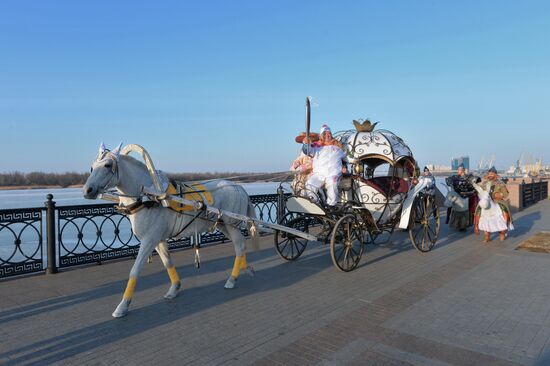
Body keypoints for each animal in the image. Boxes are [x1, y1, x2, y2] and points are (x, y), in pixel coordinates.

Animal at [83, 143, 260, 318]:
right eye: (91, 167)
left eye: (107, 165)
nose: (87, 190)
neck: (148, 196)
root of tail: (239, 187)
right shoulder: (158, 240)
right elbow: (168, 262)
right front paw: (174, 288)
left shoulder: (149, 240)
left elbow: (134, 271)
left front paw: (122, 306)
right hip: (223, 223)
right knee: (240, 244)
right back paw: (244, 269)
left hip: (231, 223)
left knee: (239, 245)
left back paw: (232, 279)